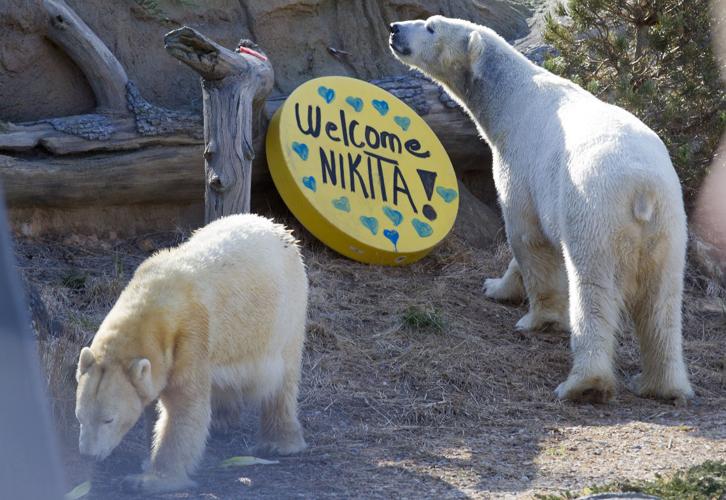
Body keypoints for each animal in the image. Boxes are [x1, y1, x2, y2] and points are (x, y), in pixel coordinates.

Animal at [74, 213, 308, 494]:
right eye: (80, 416)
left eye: (108, 419)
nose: (88, 454)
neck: (154, 300)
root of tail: (276, 227)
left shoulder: (190, 337)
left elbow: (184, 408)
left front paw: (149, 479)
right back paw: (222, 420)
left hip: (285, 315)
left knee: (282, 381)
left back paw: (280, 442)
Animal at [389, 16, 693, 404]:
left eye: (431, 27)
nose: (395, 28)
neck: (512, 97)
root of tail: (642, 189)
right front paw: (495, 286)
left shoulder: (521, 164)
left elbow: (527, 236)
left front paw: (536, 319)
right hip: (669, 225)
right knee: (662, 301)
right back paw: (660, 385)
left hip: (595, 212)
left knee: (593, 289)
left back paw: (583, 384)